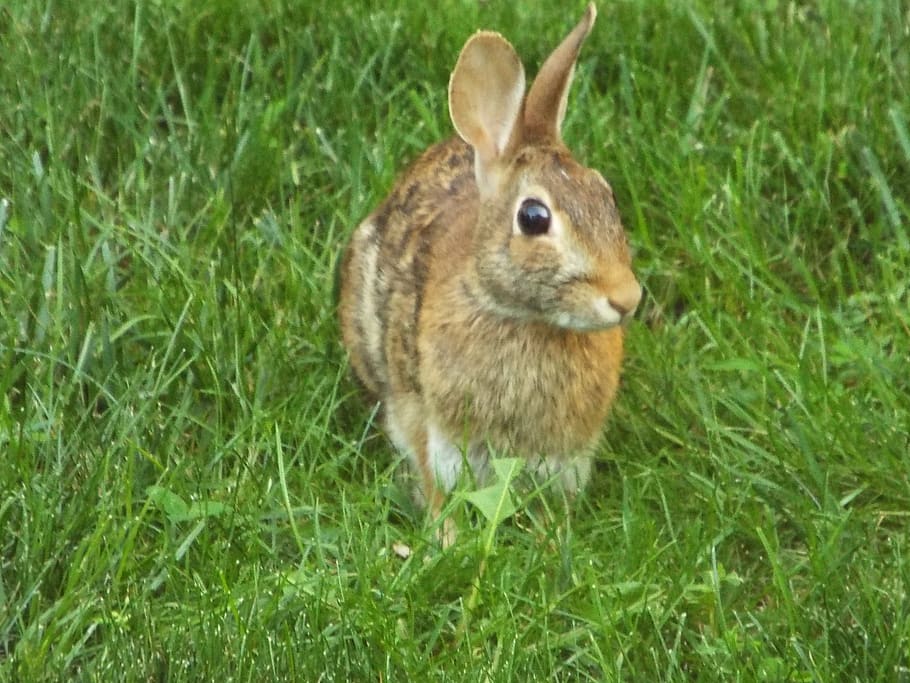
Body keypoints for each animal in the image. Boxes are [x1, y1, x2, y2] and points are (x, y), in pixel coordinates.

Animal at [338, 2, 641, 539]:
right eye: (534, 218)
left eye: (606, 196)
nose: (627, 299)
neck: (523, 317)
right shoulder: (428, 425)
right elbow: (433, 480)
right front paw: (445, 537)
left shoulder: (564, 455)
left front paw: (550, 538)